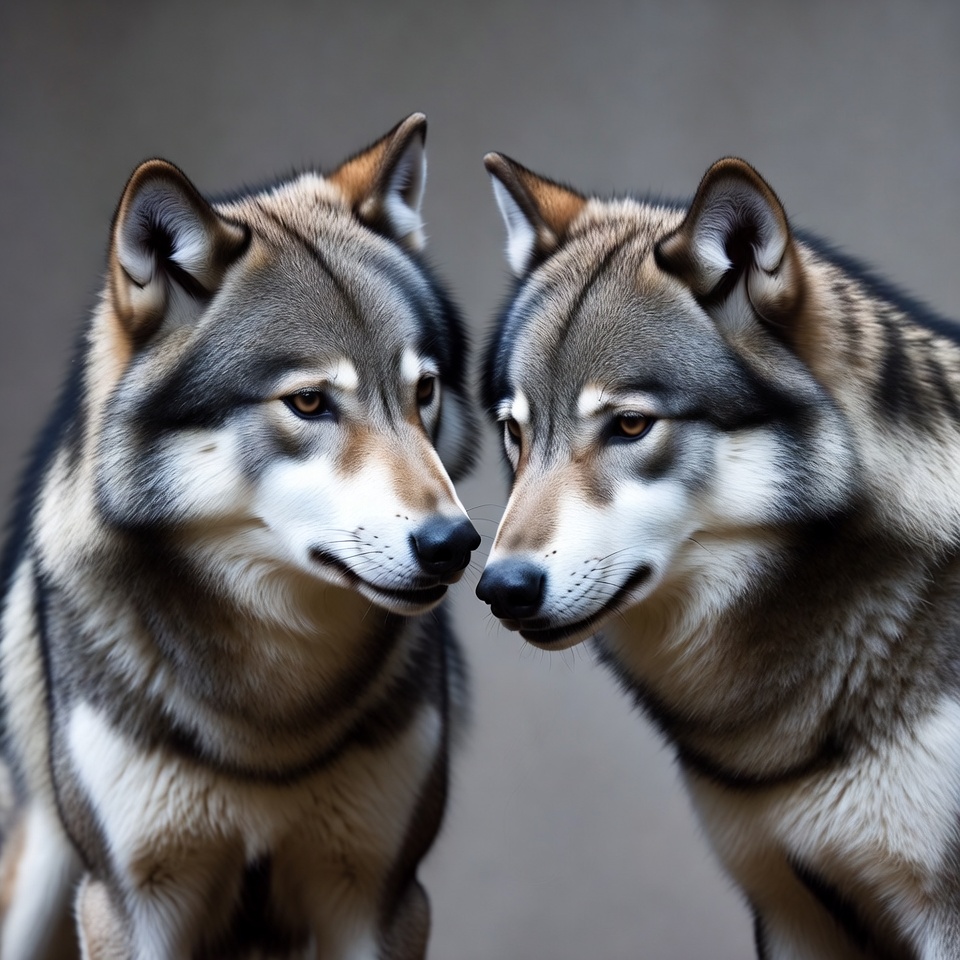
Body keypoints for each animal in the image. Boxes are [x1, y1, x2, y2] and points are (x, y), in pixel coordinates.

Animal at [0, 113, 480, 960]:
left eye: (422, 391)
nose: (453, 543)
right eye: (310, 403)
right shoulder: (133, 903)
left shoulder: (378, 897)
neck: (271, 712)